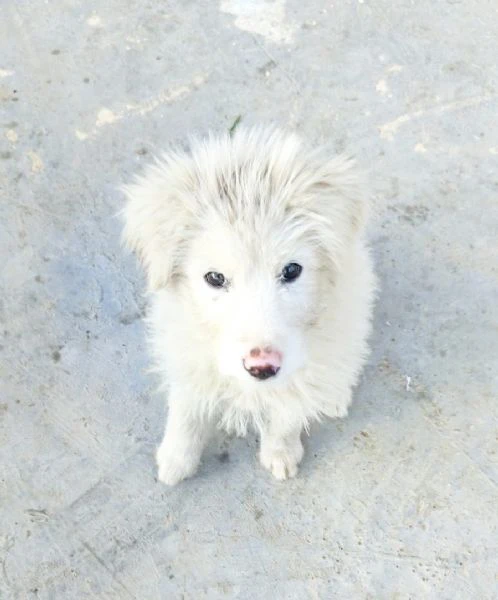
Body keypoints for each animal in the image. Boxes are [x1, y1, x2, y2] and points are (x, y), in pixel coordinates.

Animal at [122, 126, 376, 482]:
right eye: (215, 278)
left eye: (291, 270)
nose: (262, 367)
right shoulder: (185, 349)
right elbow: (186, 407)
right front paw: (176, 459)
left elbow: (288, 410)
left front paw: (280, 451)